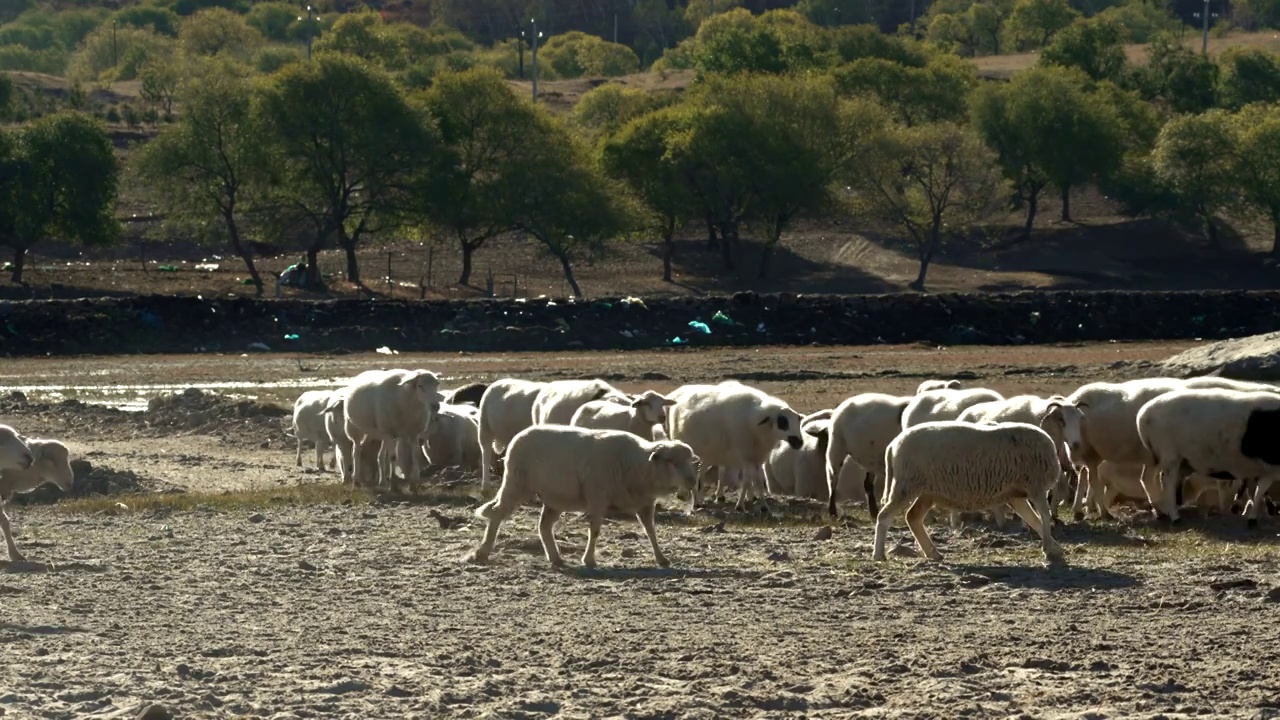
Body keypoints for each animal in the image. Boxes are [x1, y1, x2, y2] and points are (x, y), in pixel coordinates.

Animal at [463, 422, 701, 568]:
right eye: (671, 461)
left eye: (690, 460)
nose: (691, 481)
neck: (639, 466)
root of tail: (520, 435)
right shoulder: (597, 498)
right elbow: (594, 531)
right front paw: (589, 560)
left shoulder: (645, 503)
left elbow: (651, 531)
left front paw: (661, 558)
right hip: (516, 484)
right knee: (497, 514)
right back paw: (482, 552)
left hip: (554, 497)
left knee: (544, 527)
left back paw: (556, 558)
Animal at [665, 381, 803, 509]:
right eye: (782, 422)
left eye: (797, 421)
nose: (799, 442)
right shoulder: (744, 455)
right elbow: (746, 480)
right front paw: (740, 505)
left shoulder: (756, 457)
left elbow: (757, 481)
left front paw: (763, 505)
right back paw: (695, 502)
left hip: (709, 452)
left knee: (701, 472)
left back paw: (700, 498)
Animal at [875, 417, 1064, 563]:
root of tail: (892, 446)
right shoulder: (1036, 487)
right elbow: (1044, 516)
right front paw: (1048, 549)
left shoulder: (1016, 495)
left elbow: (1033, 519)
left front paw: (1054, 547)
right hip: (906, 486)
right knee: (884, 516)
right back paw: (879, 554)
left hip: (927, 492)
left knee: (912, 517)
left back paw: (933, 553)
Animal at [1136, 384, 1280, 525]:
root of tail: (1143, 415)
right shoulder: (1268, 465)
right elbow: (1260, 490)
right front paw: (1252, 519)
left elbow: (1258, 490)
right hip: (1169, 452)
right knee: (1167, 481)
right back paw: (1175, 518)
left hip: (1158, 455)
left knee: (1148, 478)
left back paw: (1162, 512)